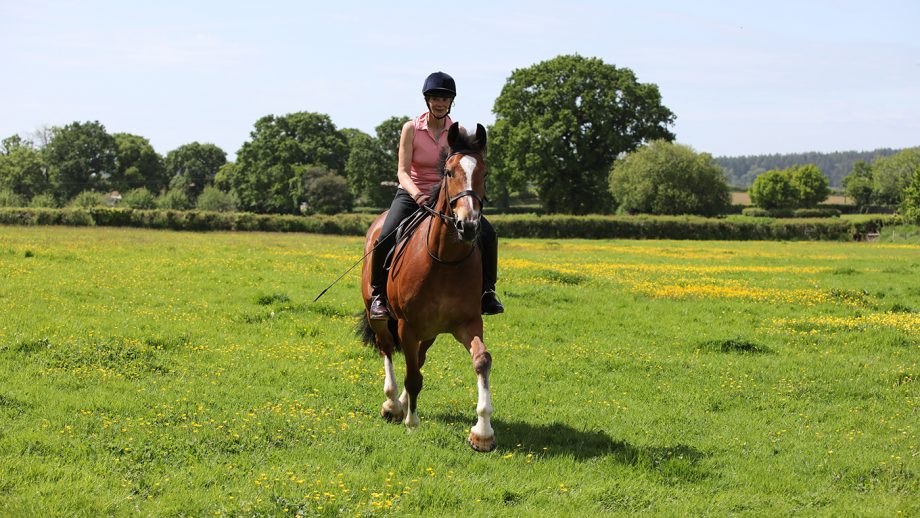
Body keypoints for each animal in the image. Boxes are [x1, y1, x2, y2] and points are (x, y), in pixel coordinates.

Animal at [359, 122, 495, 452]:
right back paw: (393, 405)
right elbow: (412, 376)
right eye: (448, 172)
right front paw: (411, 421)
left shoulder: (468, 322)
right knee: (387, 350)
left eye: (484, 173)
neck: (446, 259)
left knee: (418, 360)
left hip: (430, 331)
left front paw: (483, 432)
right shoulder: (407, 326)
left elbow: (482, 361)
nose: (468, 225)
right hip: (378, 316)